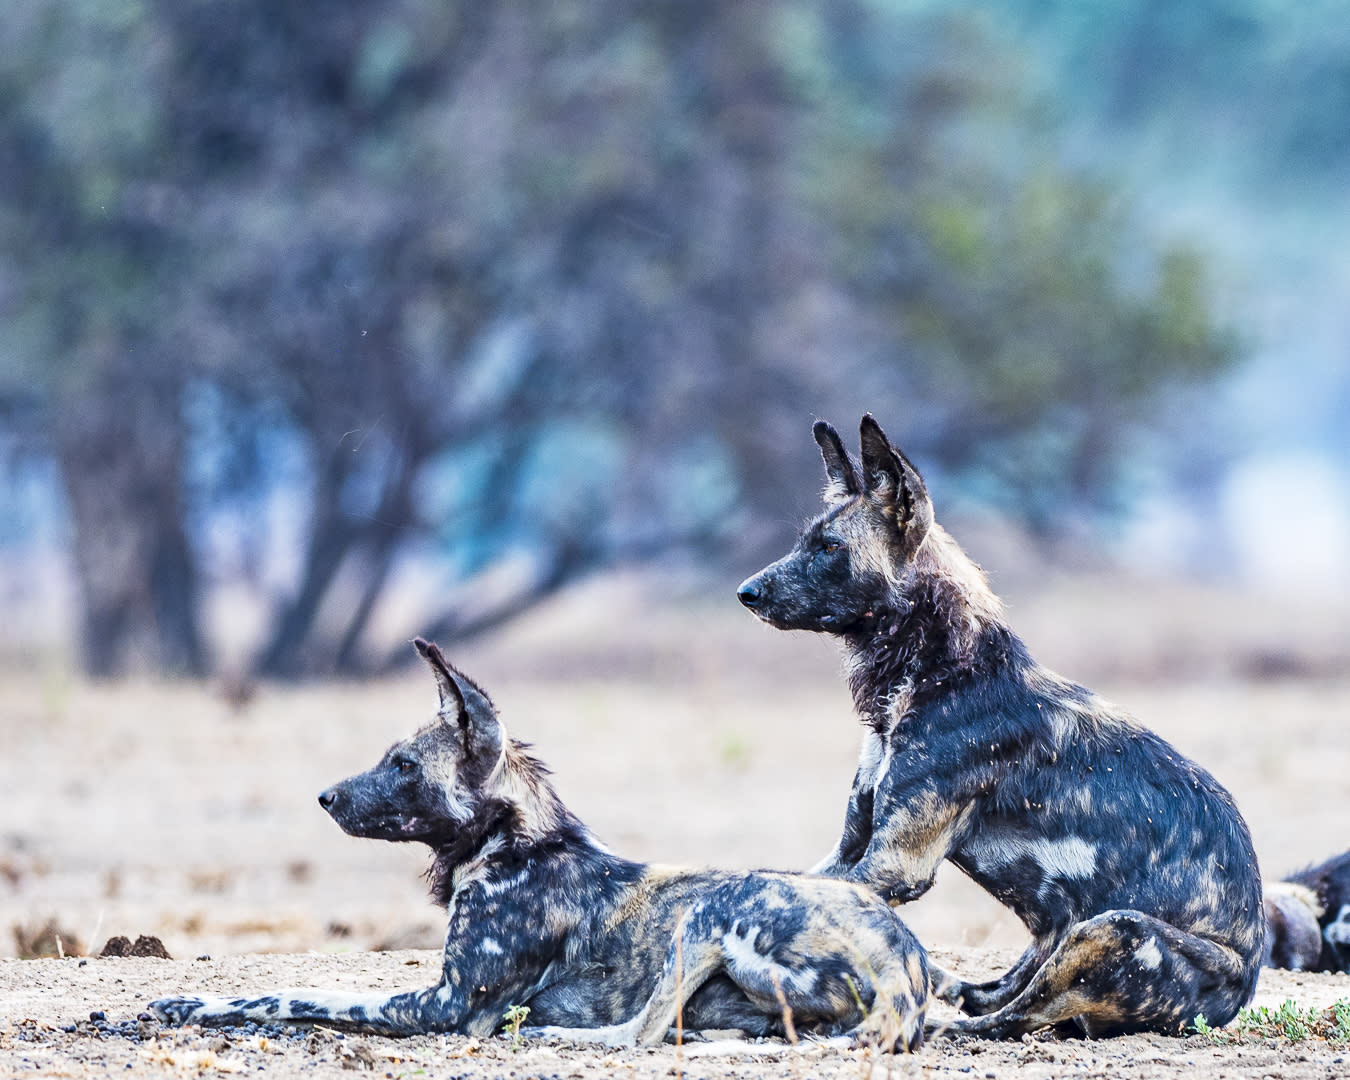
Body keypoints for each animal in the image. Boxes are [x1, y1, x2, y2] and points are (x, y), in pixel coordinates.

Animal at [147, 637, 928, 1053]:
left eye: (404, 765)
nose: (327, 797)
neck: (508, 847)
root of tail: (905, 961)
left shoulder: (445, 1007)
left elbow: (295, 993)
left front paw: (188, 1006)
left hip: (711, 912)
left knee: (635, 1034)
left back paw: (557, 1035)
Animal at [739, 413, 1263, 1036]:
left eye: (830, 548)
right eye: (803, 542)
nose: (746, 592)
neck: (938, 671)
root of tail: (1246, 982)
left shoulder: (894, 865)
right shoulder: (852, 850)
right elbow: (769, 880)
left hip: (1116, 929)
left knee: (1010, 1018)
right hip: (1056, 937)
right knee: (991, 995)